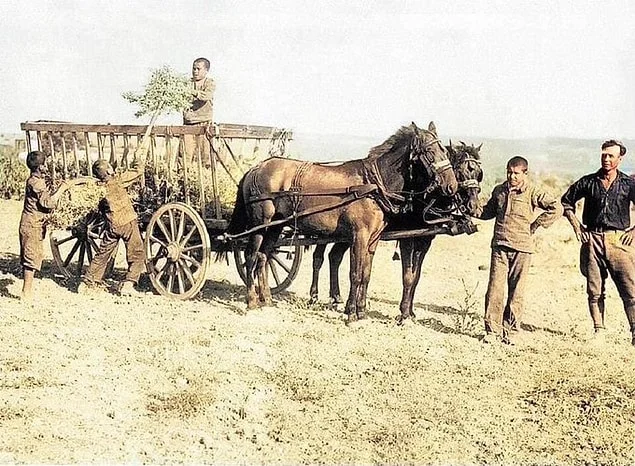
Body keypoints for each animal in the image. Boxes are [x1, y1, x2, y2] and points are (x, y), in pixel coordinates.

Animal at [226, 122, 460, 322]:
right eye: (430, 152)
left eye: (444, 151)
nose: (452, 186)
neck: (372, 185)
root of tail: (256, 168)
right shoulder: (360, 236)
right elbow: (355, 274)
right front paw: (352, 315)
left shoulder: (373, 240)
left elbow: (366, 274)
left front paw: (361, 311)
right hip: (260, 224)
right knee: (251, 256)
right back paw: (252, 301)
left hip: (276, 226)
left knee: (264, 257)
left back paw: (267, 299)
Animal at [308, 141, 482, 324]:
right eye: (462, 171)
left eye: (479, 173)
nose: (475, 207)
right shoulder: (407, 240)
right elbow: (408, 276)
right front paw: (404, 313)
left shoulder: (424, 241)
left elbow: (416, 277)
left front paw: (411, 312)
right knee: (318, 258)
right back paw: (314, 296)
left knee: (334, 257)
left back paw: (337, 299)